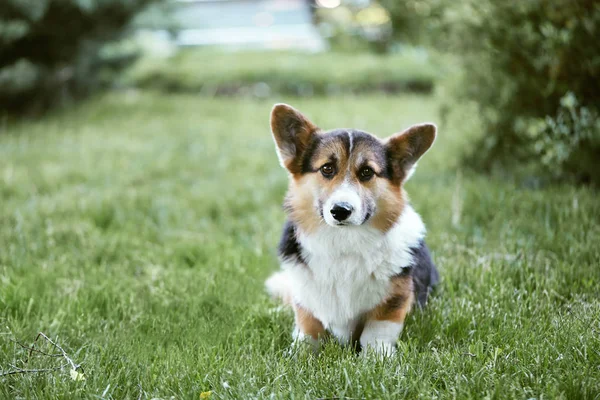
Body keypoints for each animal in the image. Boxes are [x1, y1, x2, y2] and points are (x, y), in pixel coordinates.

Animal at [264, 103, 438, 356]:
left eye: (367, 172)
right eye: (327, 168)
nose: (341, 210)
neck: (343, 241)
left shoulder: (393, 302)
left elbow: (376, 333)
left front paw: (376, 358)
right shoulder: (305, 299)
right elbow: (308, 328)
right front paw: (298, 354)